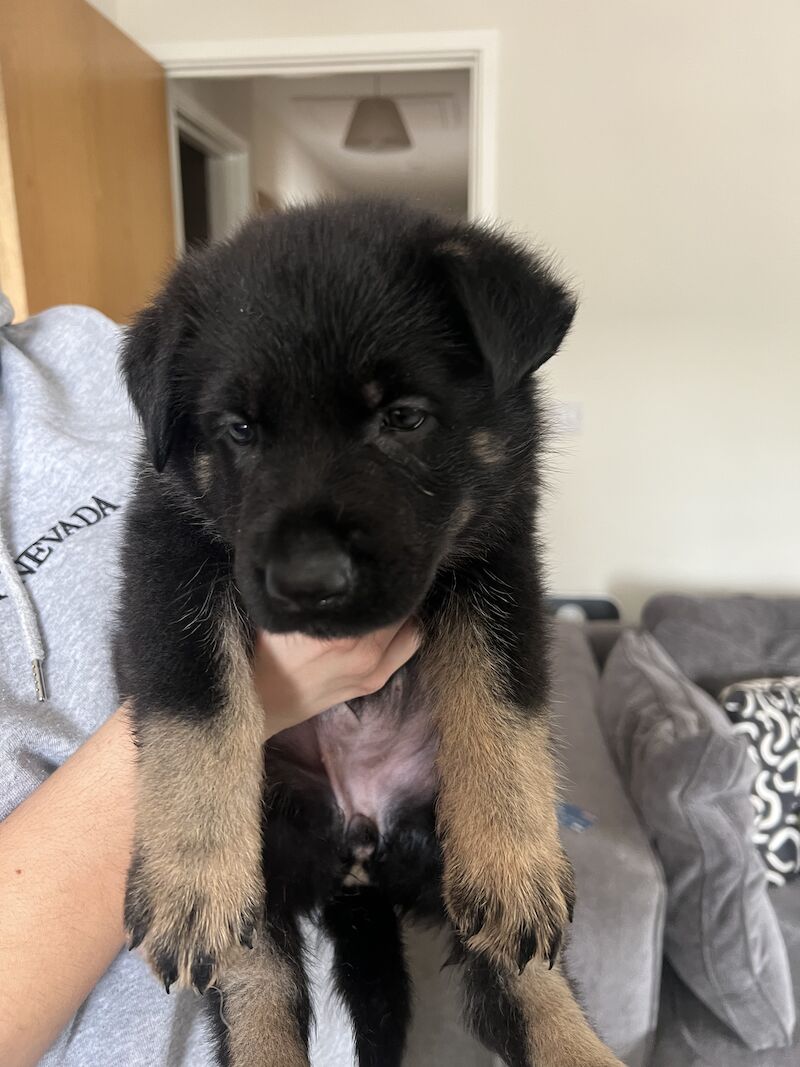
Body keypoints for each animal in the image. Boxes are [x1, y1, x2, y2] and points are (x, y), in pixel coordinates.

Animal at [115, 194, 622, 1067]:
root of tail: (357, 849)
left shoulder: (497, 558)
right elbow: (194, 701)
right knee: (257, 989)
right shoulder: (169, 549)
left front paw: (513, 854)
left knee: (527, 981)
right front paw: (189, 873)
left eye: (404, 417)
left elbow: (502, 697)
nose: (309, 582)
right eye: (239, 429)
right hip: (269, 863)